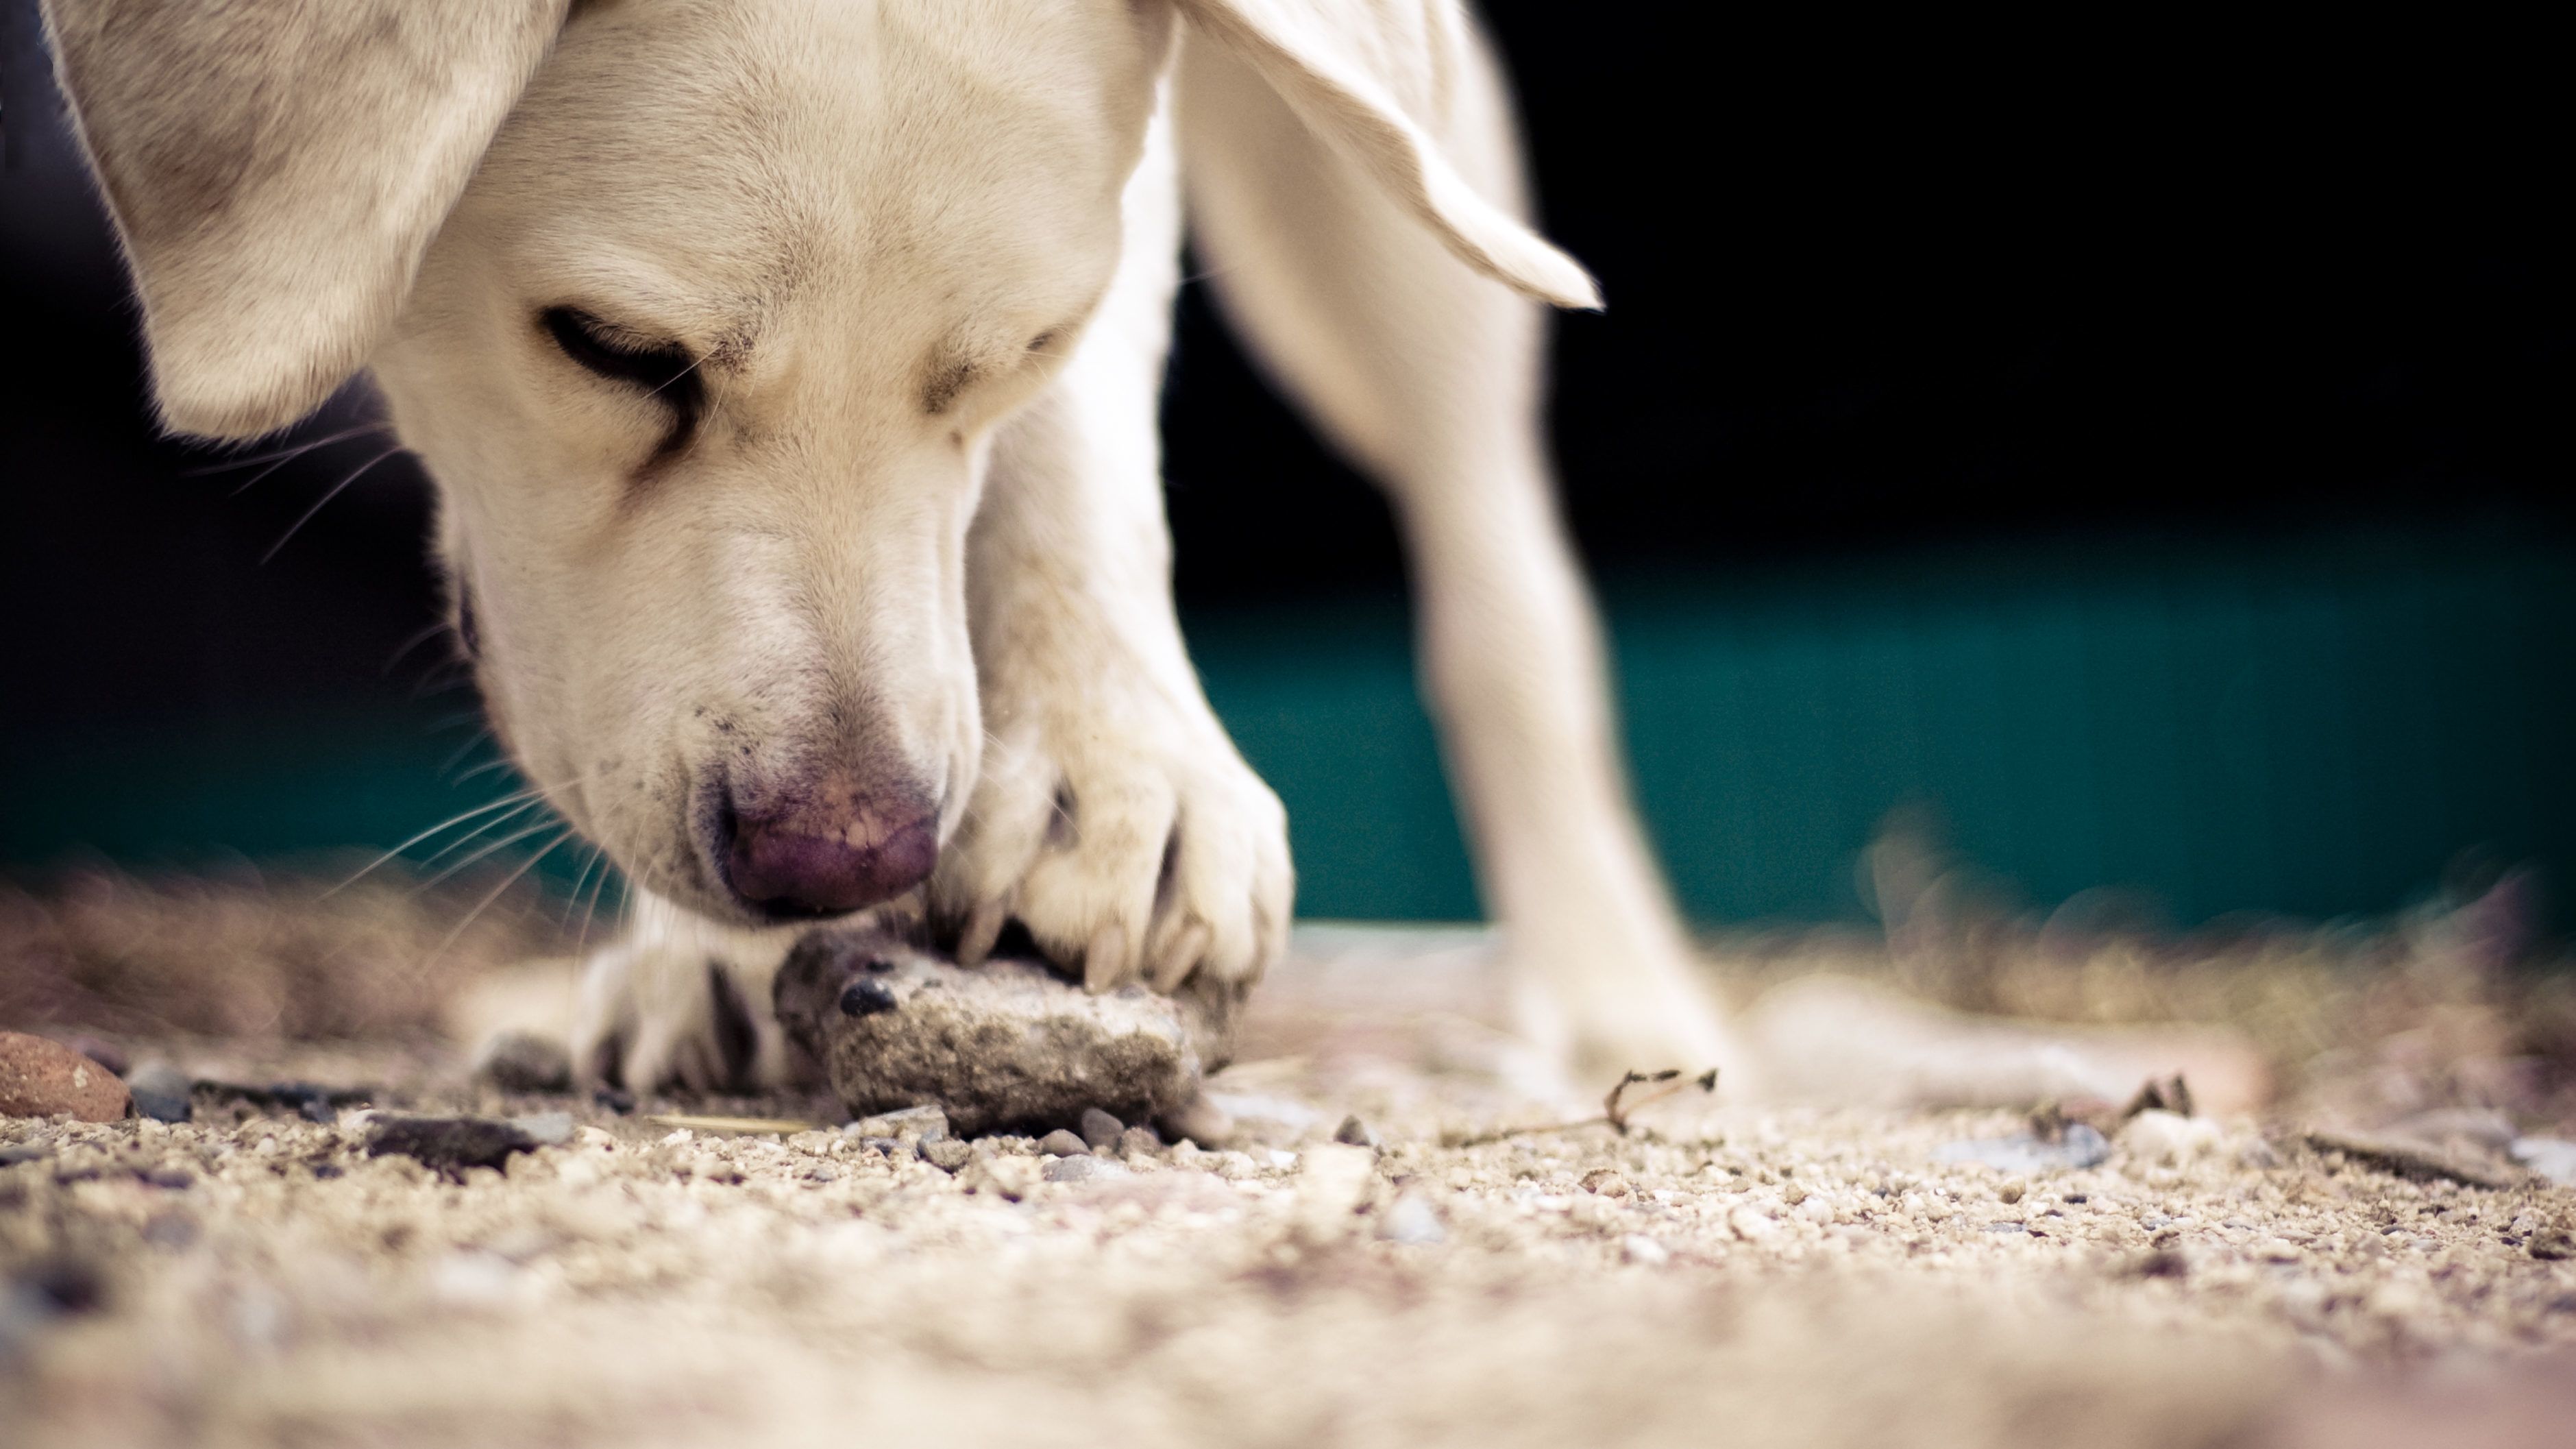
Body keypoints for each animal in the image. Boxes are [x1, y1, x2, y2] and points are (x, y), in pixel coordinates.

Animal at [40, 0, 1731, 1093]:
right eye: (611, 348)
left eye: (1023, 347)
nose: (841, 861)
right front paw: (698, 956)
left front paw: (1114, 765)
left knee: (1494, 572)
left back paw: (1617, 996)